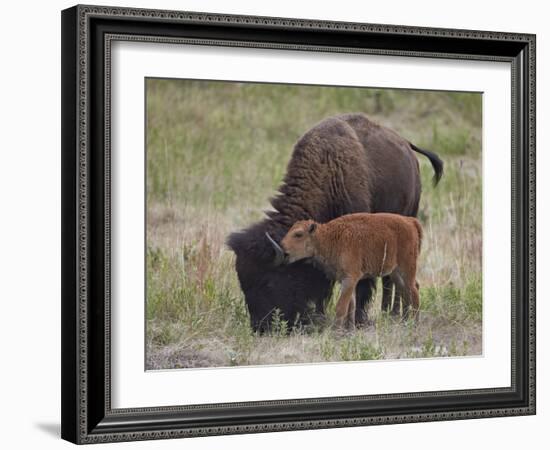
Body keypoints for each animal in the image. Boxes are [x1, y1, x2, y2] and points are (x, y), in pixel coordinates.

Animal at [282, 213, 424, 328]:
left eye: (298, 234)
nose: (283, 247)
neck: (328, 237)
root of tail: (411, 221)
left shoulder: (350, 279)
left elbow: (341, 307)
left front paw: (336, 330)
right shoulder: (345, 280)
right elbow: (351, 305)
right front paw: (349, 328)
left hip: (406, 269)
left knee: (414, 290)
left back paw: (415, 323)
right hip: (396, 273)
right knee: (407, 291)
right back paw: (405, 321)